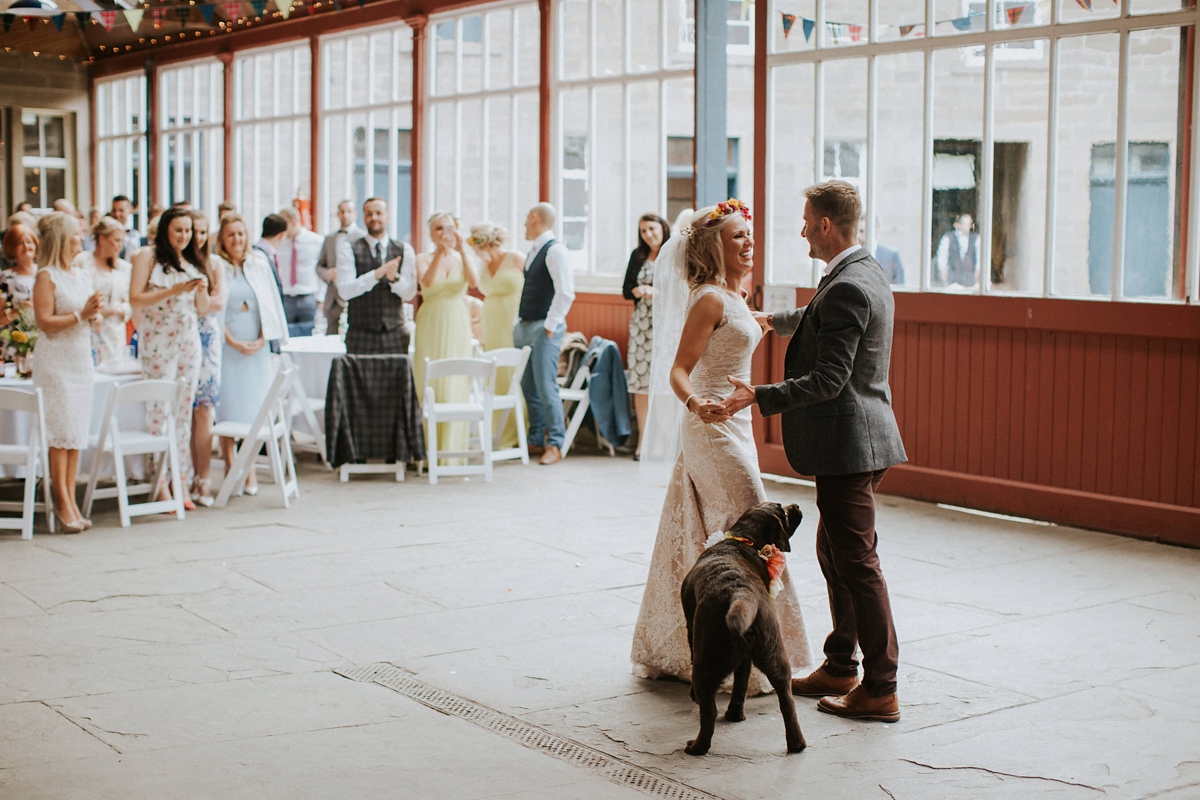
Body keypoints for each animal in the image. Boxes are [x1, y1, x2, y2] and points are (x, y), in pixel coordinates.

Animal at [676, 501, 806, 758]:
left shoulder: (690, 628)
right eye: (783, 510)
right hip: (775, 654)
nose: (796, 505)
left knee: (709, 712)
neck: (744, 540)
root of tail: (740, 592)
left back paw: (696, 747)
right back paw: (797, 744)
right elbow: (741, 682)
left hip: (706, 660)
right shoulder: (746, 658)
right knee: (787, 701)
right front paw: (736, 714)